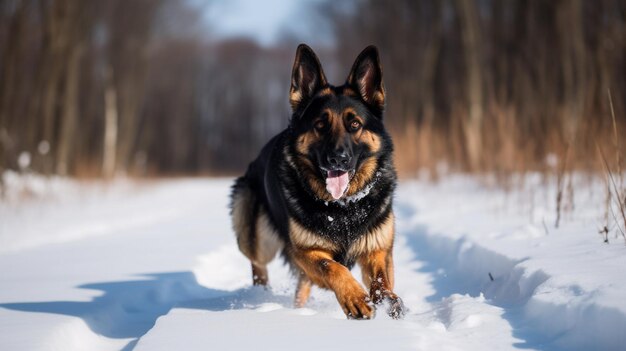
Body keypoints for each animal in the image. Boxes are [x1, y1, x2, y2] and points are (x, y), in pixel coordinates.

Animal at [228, 43, 400, 320]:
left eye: (355, 124)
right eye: (320, 124)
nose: (337, 159)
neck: (343, 208)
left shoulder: (377, 250)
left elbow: (381, 280)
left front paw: (388, 301)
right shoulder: (305, 252)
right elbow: (332, 267)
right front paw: (354, 298)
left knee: (300, 289)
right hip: (253, 230)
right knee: (258, 263)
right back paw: (261, 294)